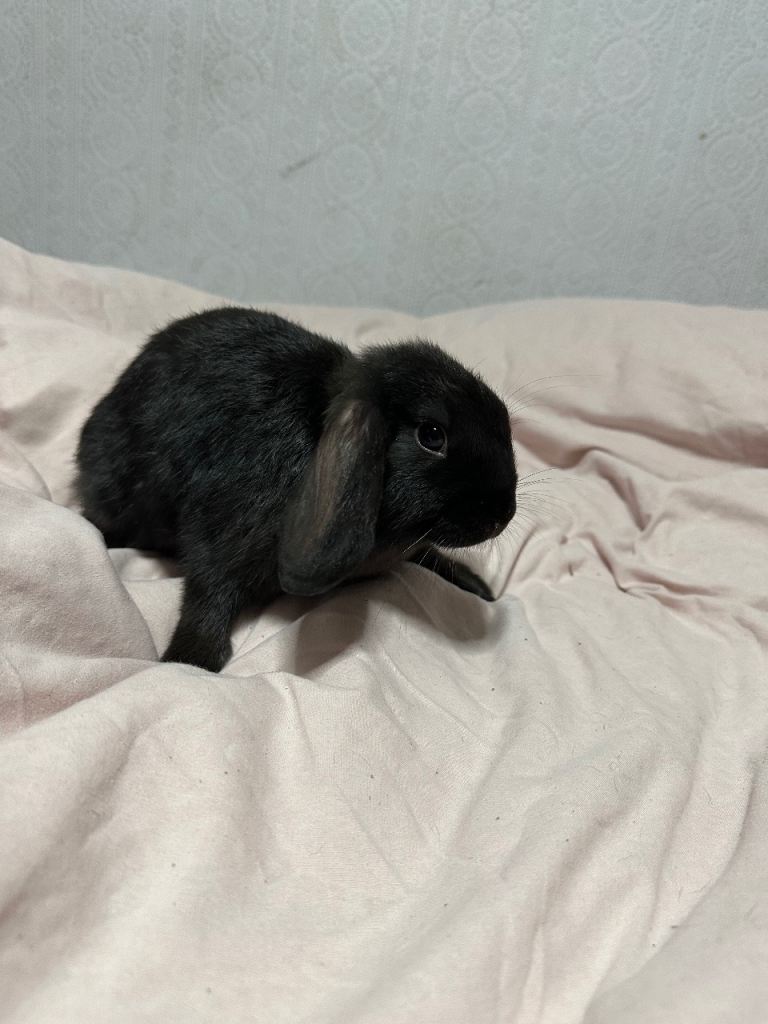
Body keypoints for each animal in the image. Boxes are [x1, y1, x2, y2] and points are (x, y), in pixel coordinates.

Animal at [76, 308, 517, 672]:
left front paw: (477, 586)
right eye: (431, 435)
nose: (502, 516)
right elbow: (208, 591)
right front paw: (190, 660)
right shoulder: (221, 534)